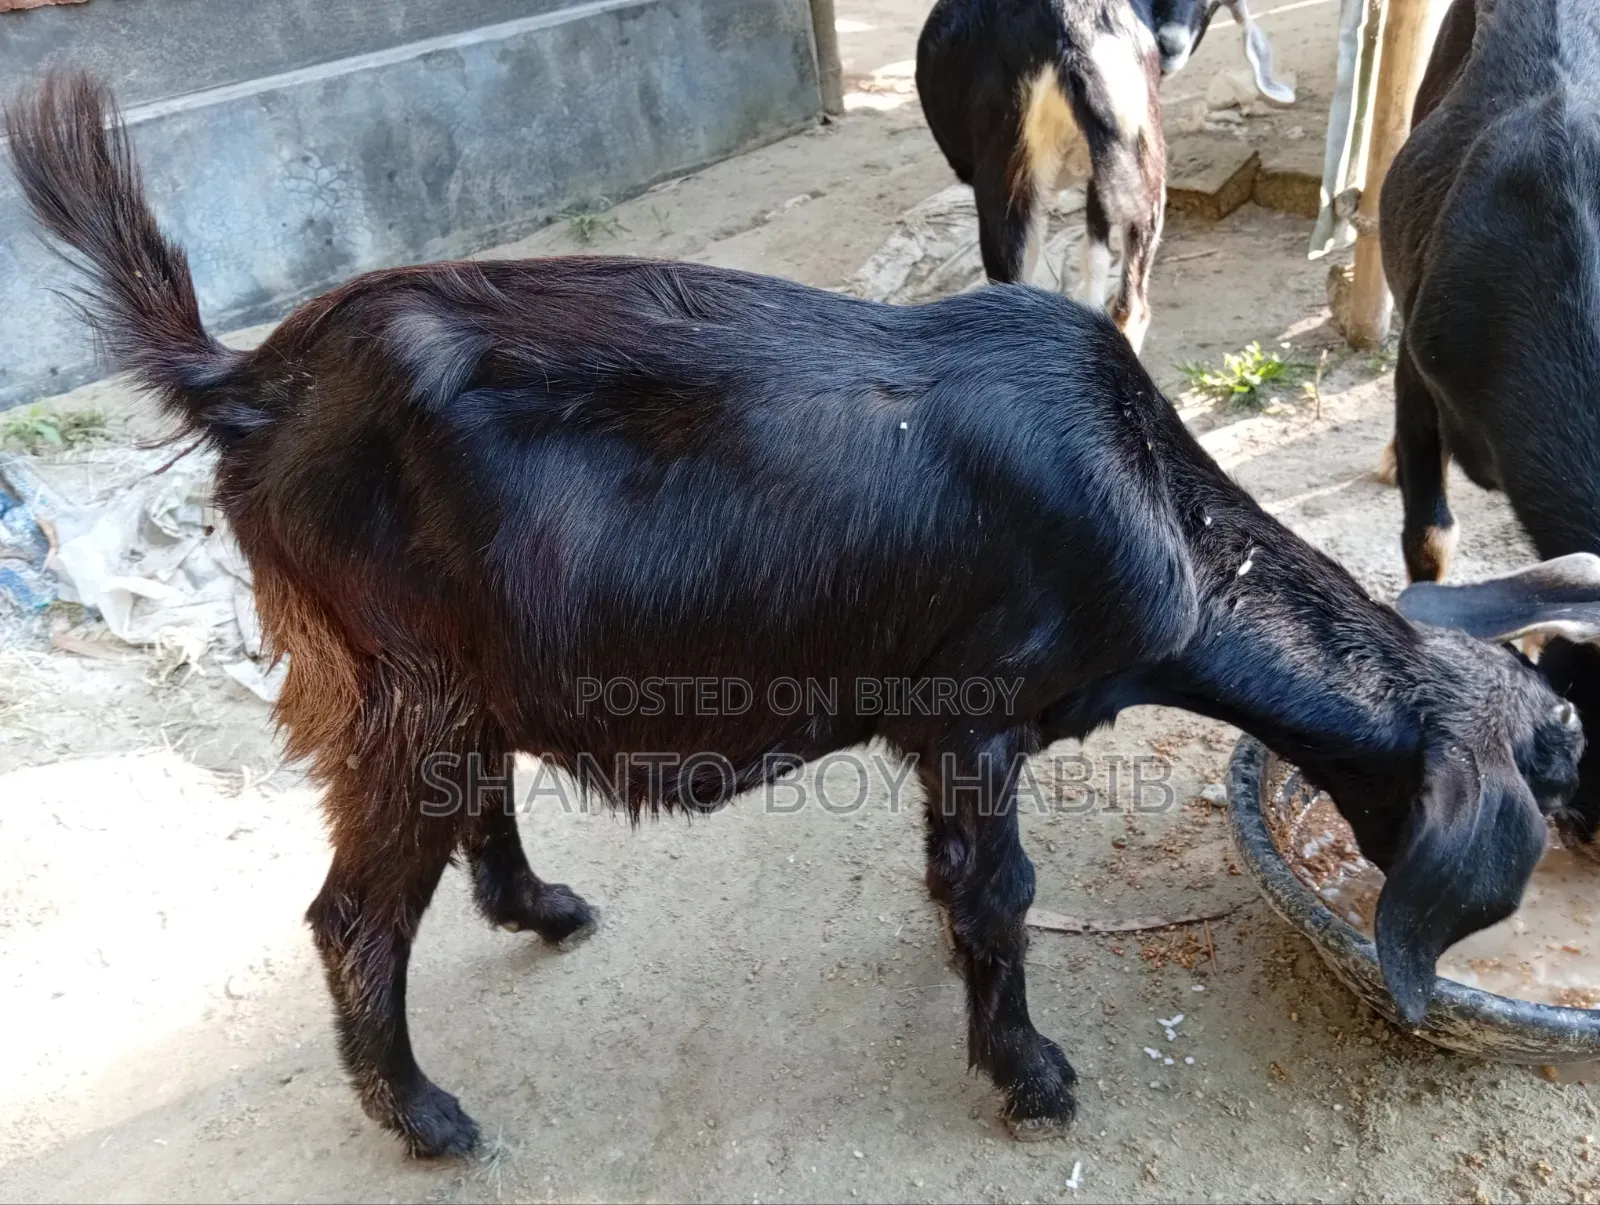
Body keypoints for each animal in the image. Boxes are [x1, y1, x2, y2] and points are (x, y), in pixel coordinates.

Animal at [7, 72, 1584, 1160]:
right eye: (1566, 752)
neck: (1158, 509)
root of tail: (249, 386)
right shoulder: (979, 711)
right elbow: (1002, 892)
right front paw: (1031, 1075)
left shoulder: (941, 731)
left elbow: (958, 881)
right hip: (393, 672)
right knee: (352, 912)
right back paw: (425, 1115)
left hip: (464, 669)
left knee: (470, 807)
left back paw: (539, 907)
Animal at [915, 0, 1293, 353]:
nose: (1170, 46)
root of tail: (1071, 28)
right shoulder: (1102, 176)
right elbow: (1094, 258)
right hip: (1139, 162)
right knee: (1130, 304)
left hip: (1009, 177)